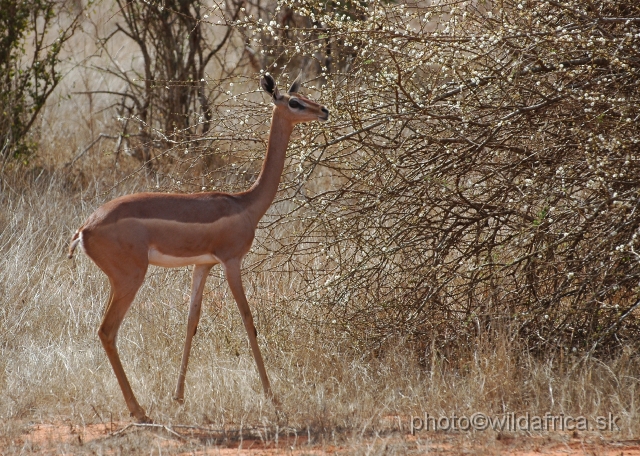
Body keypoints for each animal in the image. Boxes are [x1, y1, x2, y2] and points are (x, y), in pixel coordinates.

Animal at [69, 73, 330, 422]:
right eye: (294, 102)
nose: (324, 111)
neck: (245, 204)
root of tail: (85, 228)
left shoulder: (202, 265)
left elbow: (191, 321)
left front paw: (178, 397)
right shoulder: (231, 261)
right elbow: (248, 319)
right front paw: (273, 398)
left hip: (122, 280)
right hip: (130, 278)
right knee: (107, 331)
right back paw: (139, 411)